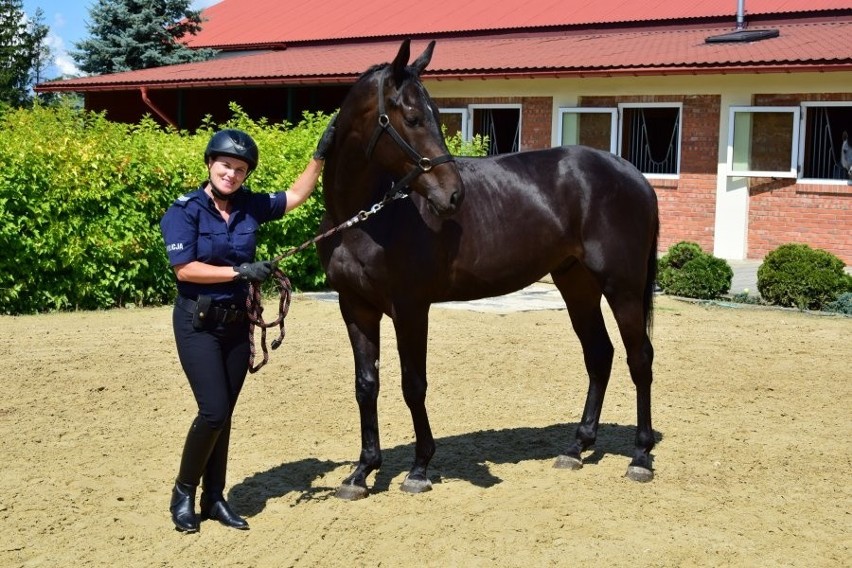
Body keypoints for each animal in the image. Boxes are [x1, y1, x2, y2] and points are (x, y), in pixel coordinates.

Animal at [316, 41, 664, 502]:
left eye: (434, 114)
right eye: (412, 118)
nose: (453, 195)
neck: (367, 218)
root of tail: (636, 176)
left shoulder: (411, 308)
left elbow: (413, 384)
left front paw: (419, 468)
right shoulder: (355, 307)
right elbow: (366, 385)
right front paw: (361, 472)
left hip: (621, 286)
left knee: (639, 357)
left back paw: (640, 456)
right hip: (577, 284)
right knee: (599, 354)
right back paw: (576, 447)